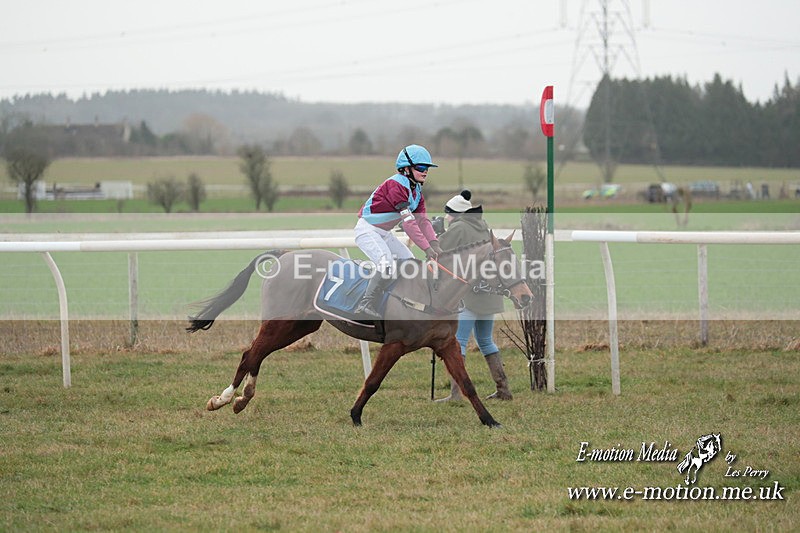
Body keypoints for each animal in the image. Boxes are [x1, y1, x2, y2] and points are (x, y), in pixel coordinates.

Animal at [187, 231, 533, 428]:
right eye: (502, 263)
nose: (526, 296)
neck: (432, 290)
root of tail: (285, 255)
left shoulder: (445, 344)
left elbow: (468, 384)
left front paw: (490, 420)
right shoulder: (394, 345)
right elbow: (373, 381)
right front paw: (355, 416)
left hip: (298, 326)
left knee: (258, 354)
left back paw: (242, 399)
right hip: (280, 322)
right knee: (251, 353)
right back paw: (223, 399)